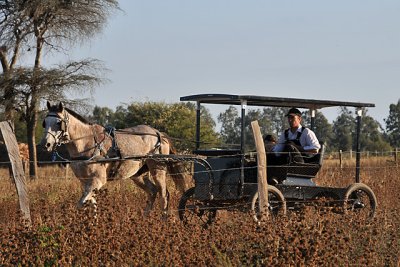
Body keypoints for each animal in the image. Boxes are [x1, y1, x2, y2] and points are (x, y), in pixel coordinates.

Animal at [40, 101, 188, 217]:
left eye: (58, 122)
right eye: (45, 122)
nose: (45, 144)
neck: (86, 143)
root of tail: (158, 133)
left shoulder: (98, 180)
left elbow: (82, 203)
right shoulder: (85, 182)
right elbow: (91, 204)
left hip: (158, 169)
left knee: (164, 195)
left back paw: (163, 222)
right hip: (138, 174)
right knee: (152, 192)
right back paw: (144, 220)